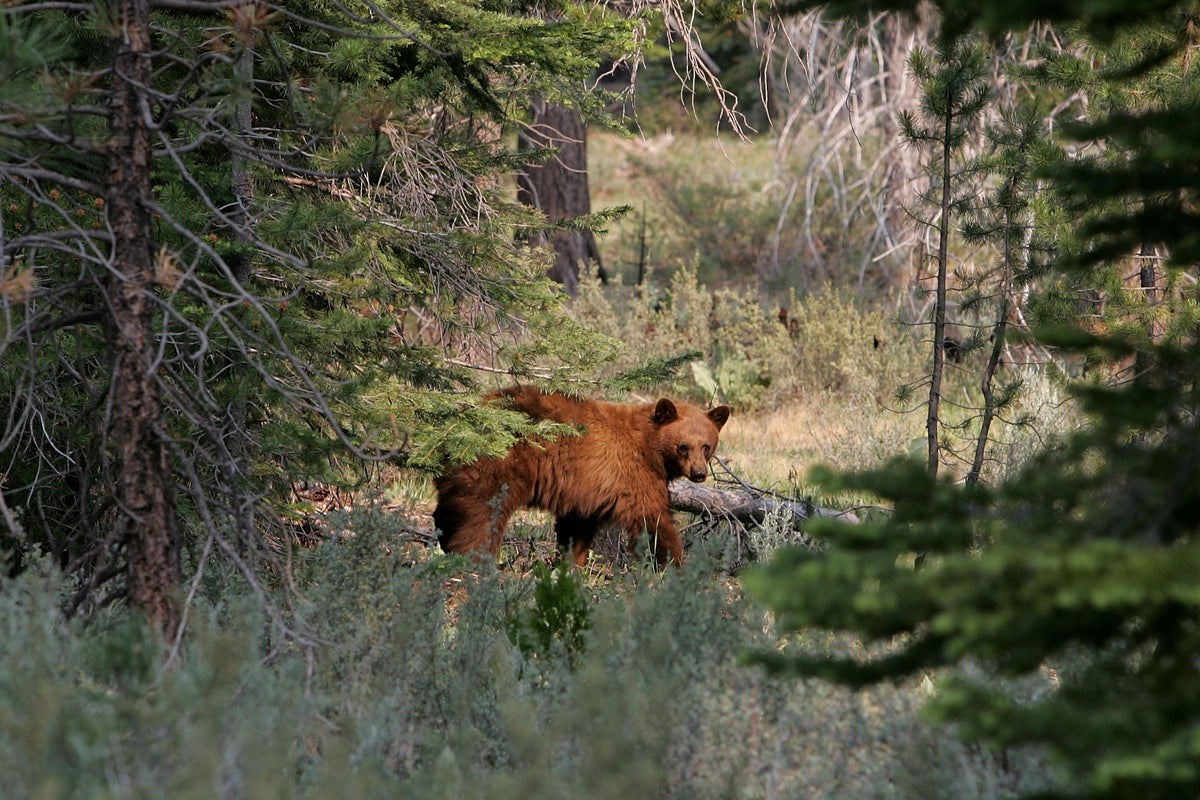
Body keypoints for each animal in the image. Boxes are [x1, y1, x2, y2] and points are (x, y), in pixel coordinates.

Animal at [433, 386, 731, 567]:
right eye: (683, 446)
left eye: (707, 446)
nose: (699, 474)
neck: (649, 445)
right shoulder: (633, 474)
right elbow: (652, 519)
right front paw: (673, 564)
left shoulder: (587, 487)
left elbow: (577, 527)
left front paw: (569, 564)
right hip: (499, 463)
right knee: (481, 515)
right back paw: (473, 558)